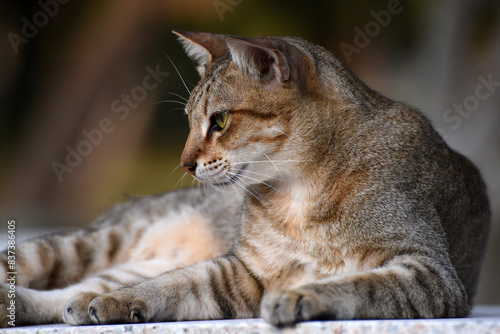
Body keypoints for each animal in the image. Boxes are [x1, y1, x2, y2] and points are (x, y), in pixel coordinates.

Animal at [0, 30, 492, 328]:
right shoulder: (241, 269)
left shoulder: (427, 271)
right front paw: (115, 302)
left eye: (218, 121)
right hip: (89, 243)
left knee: (75, 289)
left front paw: (302, 295)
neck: (300, 192)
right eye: (189, 121)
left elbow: (360, 284)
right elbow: (168, 285)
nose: (185, 162)